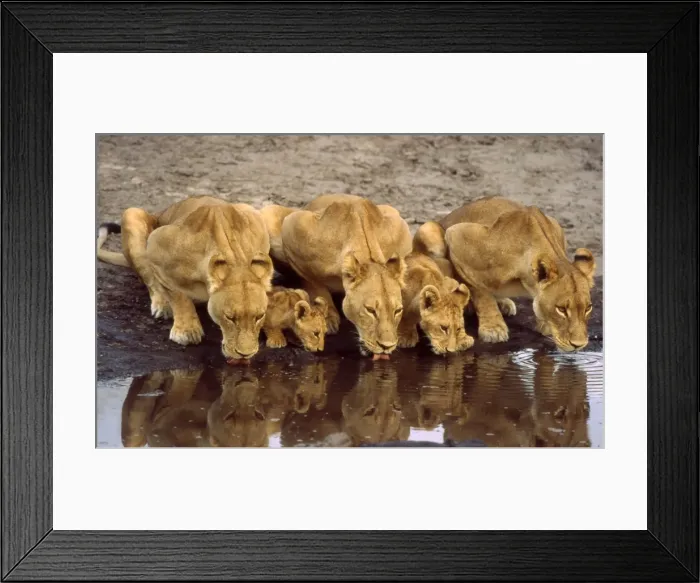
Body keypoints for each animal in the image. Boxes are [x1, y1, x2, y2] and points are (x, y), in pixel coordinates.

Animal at [97, 195, 274, 361]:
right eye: (229, 318)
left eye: (260, 316)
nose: (246, 354)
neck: (233, 253)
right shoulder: (156, 244)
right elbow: (176, 292)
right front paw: (186, 331)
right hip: (131, 214)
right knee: (149, 278)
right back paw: (162, 305)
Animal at [260, 195, 412, 357]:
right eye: (370, 310)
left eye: (398, 310)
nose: (387, 346)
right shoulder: (293, 227)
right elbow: (314, 284)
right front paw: (328, 317)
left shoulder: (401, 229)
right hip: (269, 214)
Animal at [414, 196, 596, 351]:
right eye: (561, 309)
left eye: (588, 308)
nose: (579, 345)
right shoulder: (457, 236)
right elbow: (481, 291)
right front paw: (493, 328)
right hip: (430, 230)